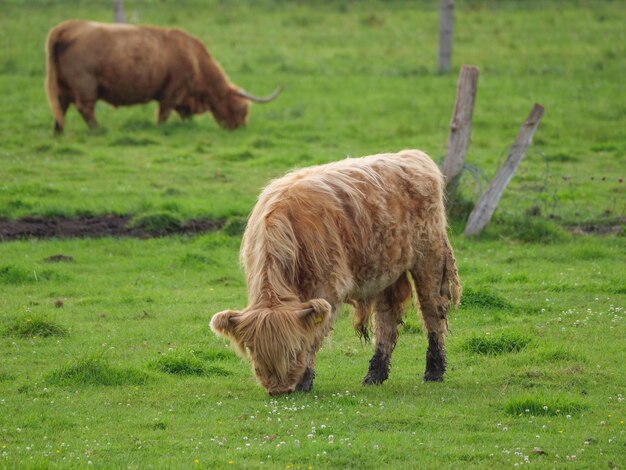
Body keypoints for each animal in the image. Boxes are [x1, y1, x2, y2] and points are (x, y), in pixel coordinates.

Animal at [44, 19, 278, 133]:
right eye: (242, 109)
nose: (240, 129)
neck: (194, 58)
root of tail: (65, 27)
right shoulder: (173, 91)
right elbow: (164, 114)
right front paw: (160, 128)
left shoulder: (182, 98)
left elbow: (185, 116)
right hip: (85, 85)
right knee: (85, 108)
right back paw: (97, 129)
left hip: (63, 87)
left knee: (60, 108)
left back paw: (59, 131)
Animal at [212, 149, 460, 394]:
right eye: (255, 354)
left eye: (295, 349)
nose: (280, 390)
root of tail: (412, 154)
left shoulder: (327, 287)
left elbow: (315, 333)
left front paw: (304, 381)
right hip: (385, 270)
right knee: (386, 319)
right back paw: (374, 374)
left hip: (430, 258)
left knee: (432, 311)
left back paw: (434, 371)